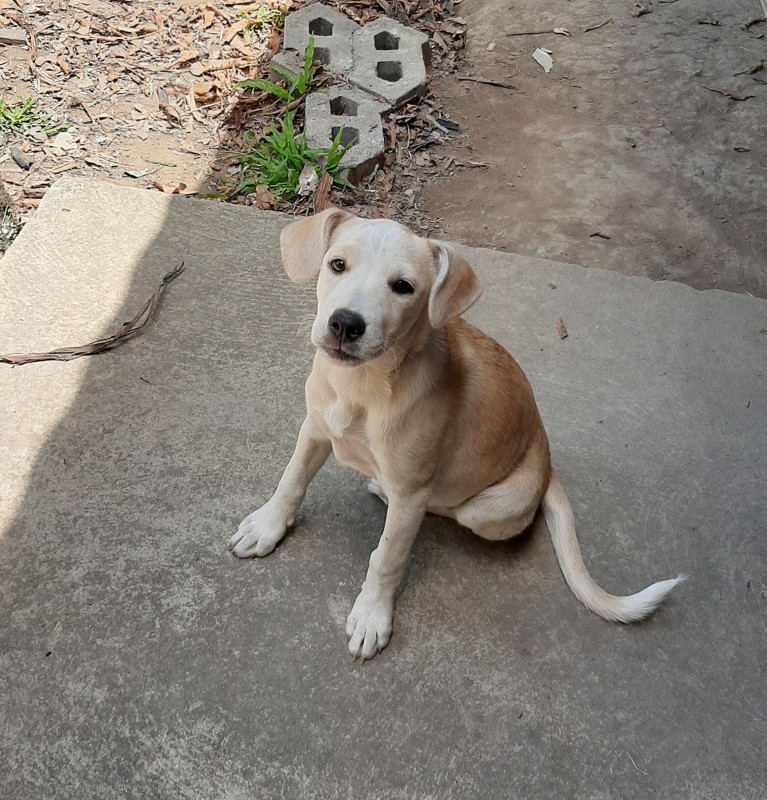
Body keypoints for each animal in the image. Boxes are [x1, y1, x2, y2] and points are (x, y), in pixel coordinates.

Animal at [228, 208, 684, 664]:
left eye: (403, 286)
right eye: (337, 264)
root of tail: (547, 461)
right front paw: (267, 526)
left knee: (447, 508)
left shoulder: (412, 488)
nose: (345, 324)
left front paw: (372, 614)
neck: (363, 387)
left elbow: (387, 555)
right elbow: (291, 480)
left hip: (486, 510)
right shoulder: (315, 428)